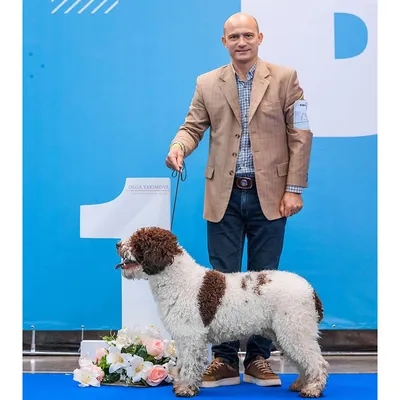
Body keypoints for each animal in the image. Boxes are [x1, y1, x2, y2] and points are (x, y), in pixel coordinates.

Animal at [115, 227, 328, 398]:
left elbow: (190, 364)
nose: (117, 244)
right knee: (304, 363)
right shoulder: (183, 336)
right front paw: (181, 384)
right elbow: (183, 364)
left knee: (318, 362)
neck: (178, 279)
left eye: (138, 241)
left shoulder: (192, 336)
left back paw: (313, 389)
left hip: (295, 330)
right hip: (284, 333)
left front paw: (186, 389)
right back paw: (301, 384)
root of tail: (311, 290)